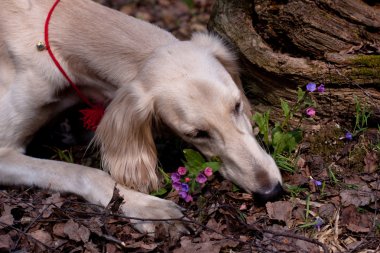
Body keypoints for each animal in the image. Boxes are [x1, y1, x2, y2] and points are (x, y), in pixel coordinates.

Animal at [0, 0, 282, 235]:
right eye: (197, 134)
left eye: (237, 106)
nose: (271, 191)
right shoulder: (4, 152)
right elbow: (84, 172)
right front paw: (146, 207)